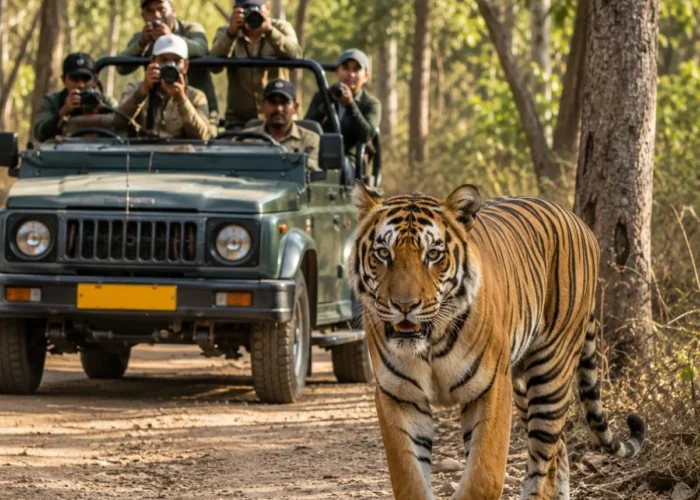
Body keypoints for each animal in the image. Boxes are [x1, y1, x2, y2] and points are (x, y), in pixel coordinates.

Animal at [346, 181, 645, 500]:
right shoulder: (399, 394)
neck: (431, 342)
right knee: (559, 449)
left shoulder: (491, 388)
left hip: (551, 372)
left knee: (544, 460)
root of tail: (580, 223)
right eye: (382, 253)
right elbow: (409, 479)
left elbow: (483, 477)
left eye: (433, 254)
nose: (405, 305)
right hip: (523, 386)